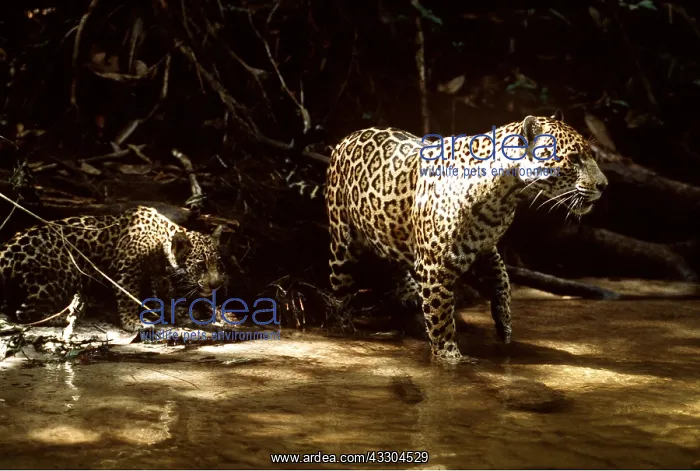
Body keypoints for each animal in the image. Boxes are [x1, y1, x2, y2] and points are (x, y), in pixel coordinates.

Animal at [0, 205, 228, 332]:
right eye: (200, 265)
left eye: (218, 263)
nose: (216, 284)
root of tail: (5, 251)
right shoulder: (127, 266)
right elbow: (128, 296)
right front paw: (132, 323)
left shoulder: (155, 274)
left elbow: (158, 292)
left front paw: (167, 309)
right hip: (59, 274)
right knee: (24, 313)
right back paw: (65, 316)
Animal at [325, 110, 608, 361]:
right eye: (574, 159)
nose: (604, 185)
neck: (505, 196)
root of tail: (345, 138)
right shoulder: (435, 268)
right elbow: (441, 319)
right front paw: (451, 358)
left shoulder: (486, 246)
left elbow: (503, 280)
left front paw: (504, 326)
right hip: (342, 245)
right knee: (340, 293)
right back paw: (345, 327)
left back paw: (407, 293)